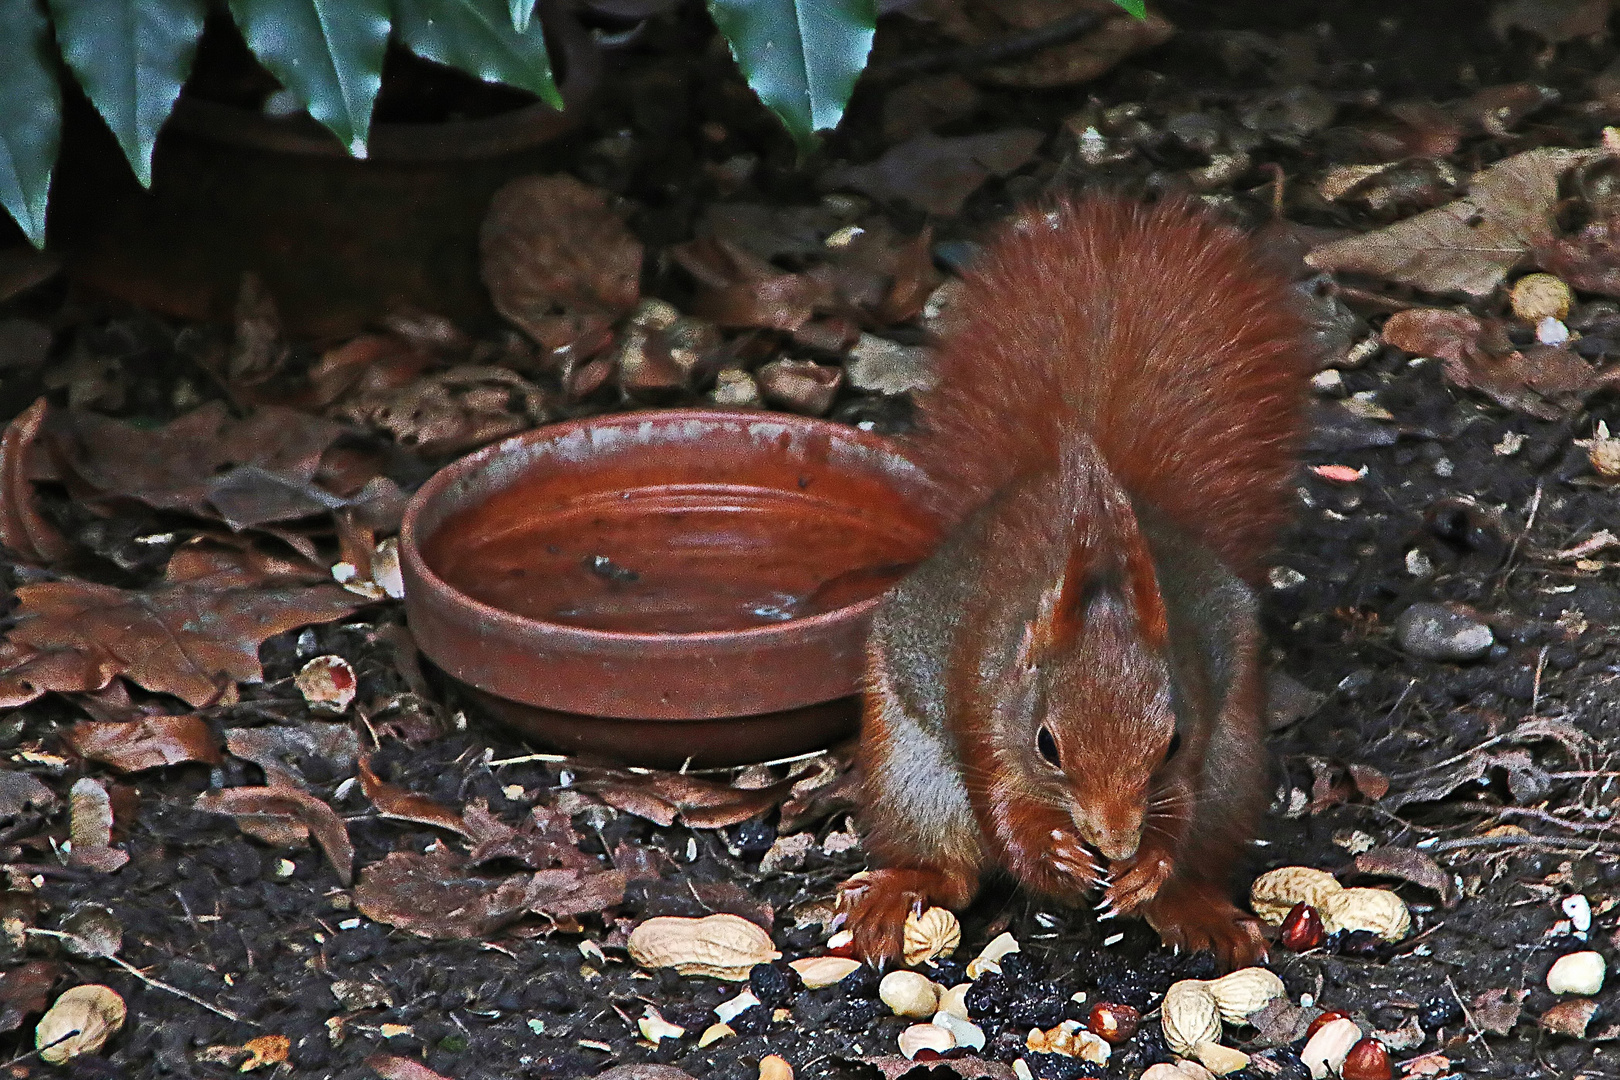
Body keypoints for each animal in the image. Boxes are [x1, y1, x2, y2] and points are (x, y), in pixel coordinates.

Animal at [842, 194, 1308, 971]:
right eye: (1046, 744)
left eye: (1171, 743)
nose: (1115, 840)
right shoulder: (980, 704)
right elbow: (1004, 809)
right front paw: (1054, 858)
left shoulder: (1199, 719)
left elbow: (1177, 812)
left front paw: (1147, 866)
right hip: (911, 770)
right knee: (951, 869)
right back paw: (903, 890)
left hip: (1235, 769)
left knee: (1203, 844)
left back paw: (1194, 906)